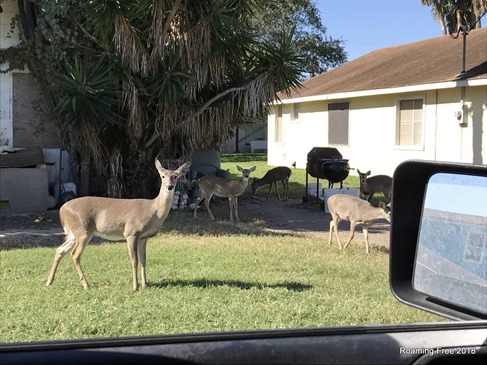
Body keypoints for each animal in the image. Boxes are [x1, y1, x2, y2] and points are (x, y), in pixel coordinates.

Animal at [45, 159, 191, 290]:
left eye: (175, 176)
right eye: (163, 176)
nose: (169, 186)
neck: (154, 210)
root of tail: (62, 209)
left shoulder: (143, 237)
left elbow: (144, 260)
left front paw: (145, 284)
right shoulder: (131, 232)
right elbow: (134, 260)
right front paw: (135, 287)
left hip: (73, 233)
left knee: (60, 250)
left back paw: (49, 282)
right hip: (83, 231)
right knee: (75, 255)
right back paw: (86, 285)